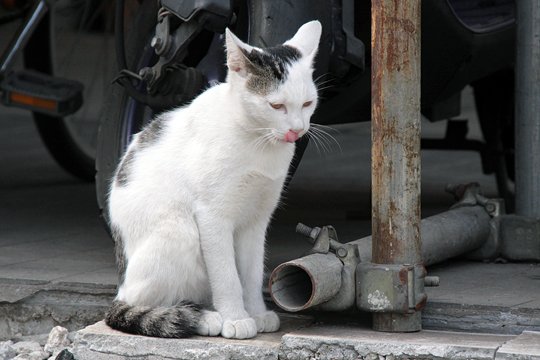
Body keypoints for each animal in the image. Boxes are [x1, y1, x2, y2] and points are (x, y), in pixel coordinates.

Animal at [106, 20, 320, 340]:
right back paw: (207, 318)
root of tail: (121, 284)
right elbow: (227, 274)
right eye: (276, 106)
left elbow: (251, 272)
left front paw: (256, 313)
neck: (257, 142)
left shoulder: (256, 220)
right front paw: (236, 318)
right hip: (179, 231)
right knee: (145, 302)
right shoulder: (212, 216)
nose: (297, 130)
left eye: (307, 103)